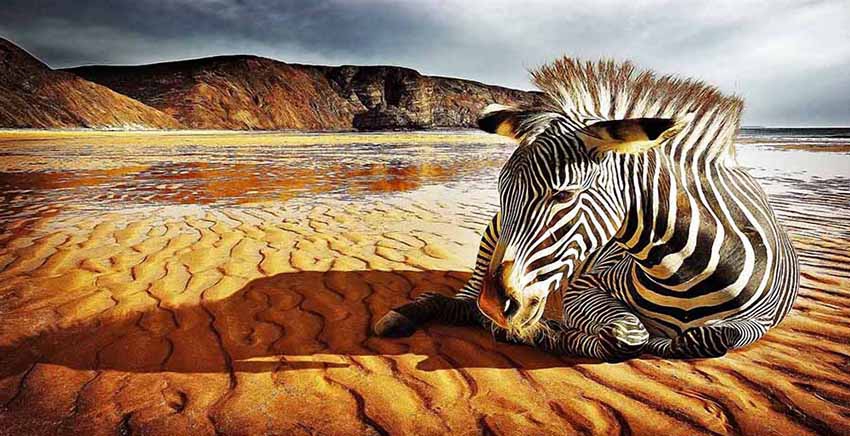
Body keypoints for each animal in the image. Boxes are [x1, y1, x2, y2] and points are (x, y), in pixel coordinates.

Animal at [373, 58, 800, 361]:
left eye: (563, 196)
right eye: (501, 191)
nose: (496, 306)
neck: (683, 272)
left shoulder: (762, 320)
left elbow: (709, 337)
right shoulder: (584, 288)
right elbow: (627, 336)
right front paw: (546, 334)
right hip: (491, 243)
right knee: (463, 301)